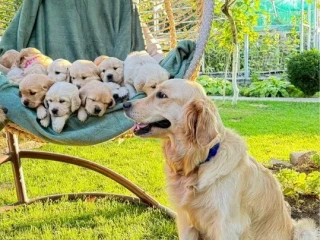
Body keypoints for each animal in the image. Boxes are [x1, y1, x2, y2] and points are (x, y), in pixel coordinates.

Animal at [124, 79, 316, 240]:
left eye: (162, 95)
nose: (124, 103)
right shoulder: (186, 222)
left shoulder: (227, 227)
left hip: (305, 228)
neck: (199, 163)